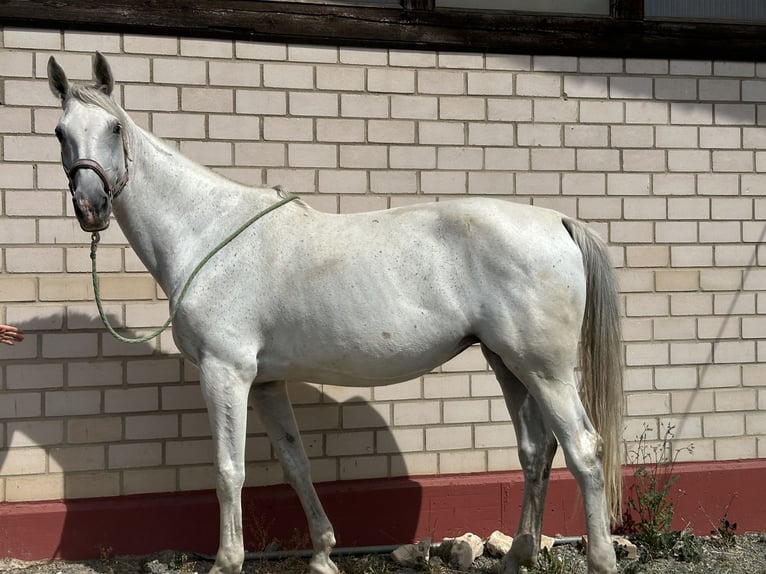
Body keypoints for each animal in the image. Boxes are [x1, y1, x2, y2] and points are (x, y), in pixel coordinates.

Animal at [46, 54, 624, 574]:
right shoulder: (264, 382)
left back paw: (600, 559)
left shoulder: (225, 373)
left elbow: (229, 470)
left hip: (543, 369)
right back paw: (519, 555)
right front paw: (323, 554)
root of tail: (557, 221)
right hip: (508, 364)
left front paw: (227, 562)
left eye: (115, 127)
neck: (207, 230)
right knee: (536, 451)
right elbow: (296, 463)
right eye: (59, 132)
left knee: (583, 449)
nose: (91, 206)